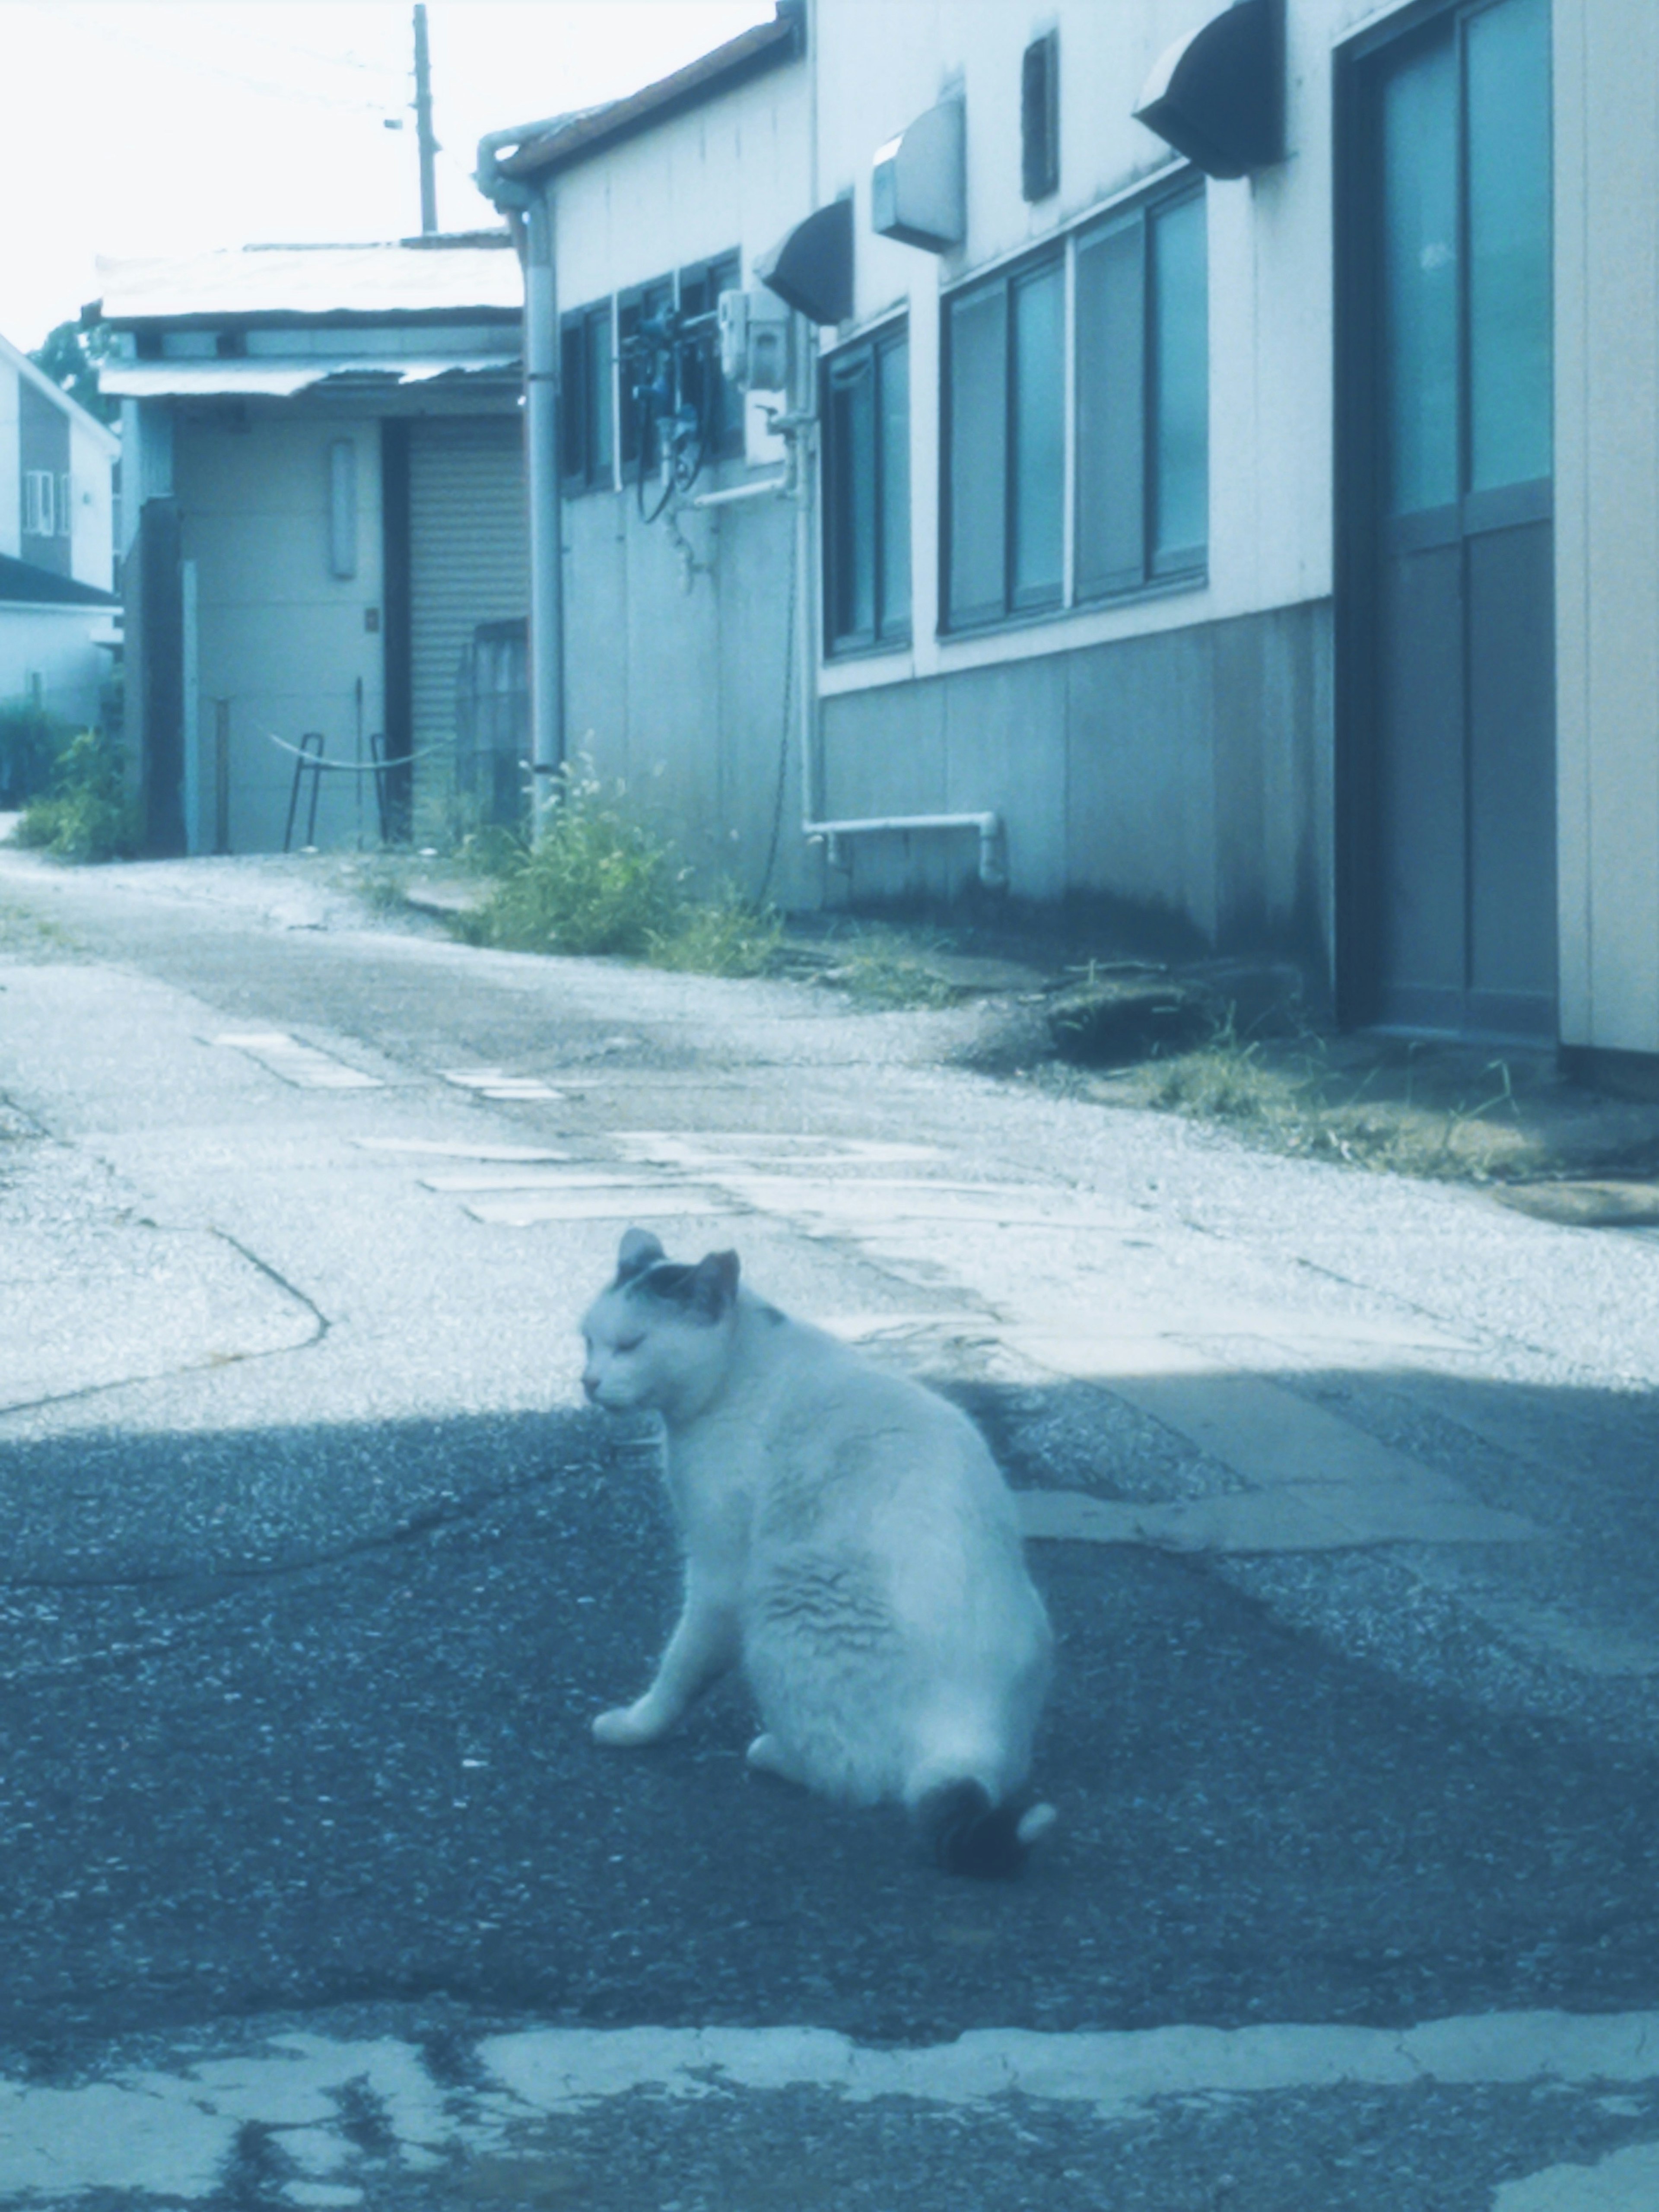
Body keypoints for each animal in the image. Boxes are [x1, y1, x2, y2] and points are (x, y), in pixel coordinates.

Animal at [579, 1221, 1057, 1875]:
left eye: (630, 1345)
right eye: (588, 1341)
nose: (589, 1382)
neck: (738, 1372)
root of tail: (970, 1734)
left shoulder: (719, 1575)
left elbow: (680, 1667)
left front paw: (636, 1725)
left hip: (781, 1609)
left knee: (858, 1773)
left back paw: (771, 1752)